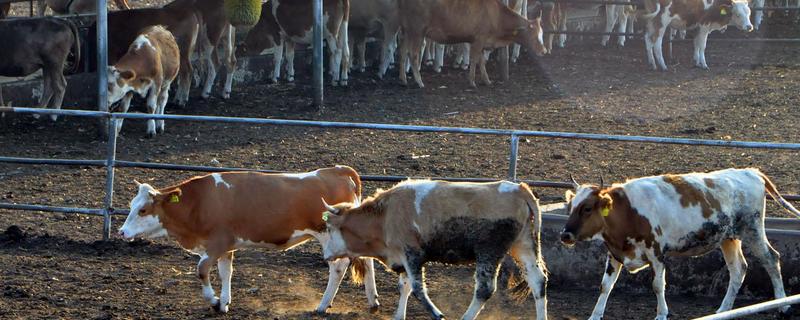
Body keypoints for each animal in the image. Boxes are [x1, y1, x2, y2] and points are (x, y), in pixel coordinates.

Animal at [119, 166, 382, 314]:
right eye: (131, 205)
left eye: (143, 210)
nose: (122, 232)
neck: (200, 202)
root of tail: (338, 171)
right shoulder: (226, 247)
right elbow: (226, 272)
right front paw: (224, 303)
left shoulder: (216, 244)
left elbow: (202, 270)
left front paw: (214, 301)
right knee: (367, 261)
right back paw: (373, 301)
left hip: (329, 235)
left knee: (338, 267)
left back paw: (322, 306)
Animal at [320, 180, 552, 320]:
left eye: (330, 228)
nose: (326, 256)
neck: (385, 216)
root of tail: (519, 189)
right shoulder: (402, 258)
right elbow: (404, 287)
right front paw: (399, 315)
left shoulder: (412, 254)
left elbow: (417, 289)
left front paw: (437, 314)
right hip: (524, 244)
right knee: (538, 281)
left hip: (490, 251)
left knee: (485, 289)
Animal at [396, 0, 548, 87]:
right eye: (535, 36)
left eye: (542, 34)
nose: (544, 51)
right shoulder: (479, 39)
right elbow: (474, 59)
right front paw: (472, 81)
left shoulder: (481, 41)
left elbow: (481, 61)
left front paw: (486, 80)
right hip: (417, 31)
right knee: (413, 55)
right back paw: (419, 82)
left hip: (406, 30)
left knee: (403, 52)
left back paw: (403, 80)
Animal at [560, 169, 796, 318]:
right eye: (570, 206)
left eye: (587, 208)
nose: (565, 235)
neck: (627, 211)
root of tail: (751, 172)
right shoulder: (615, 253)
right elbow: (605, 286)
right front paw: (595, 315)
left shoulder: (656, 253)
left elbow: (658, 285)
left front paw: (662, 314)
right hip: (728, 238)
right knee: (738, 269)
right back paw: (724, 310)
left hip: (752, 230)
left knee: (771, 259)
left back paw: (783, 306)